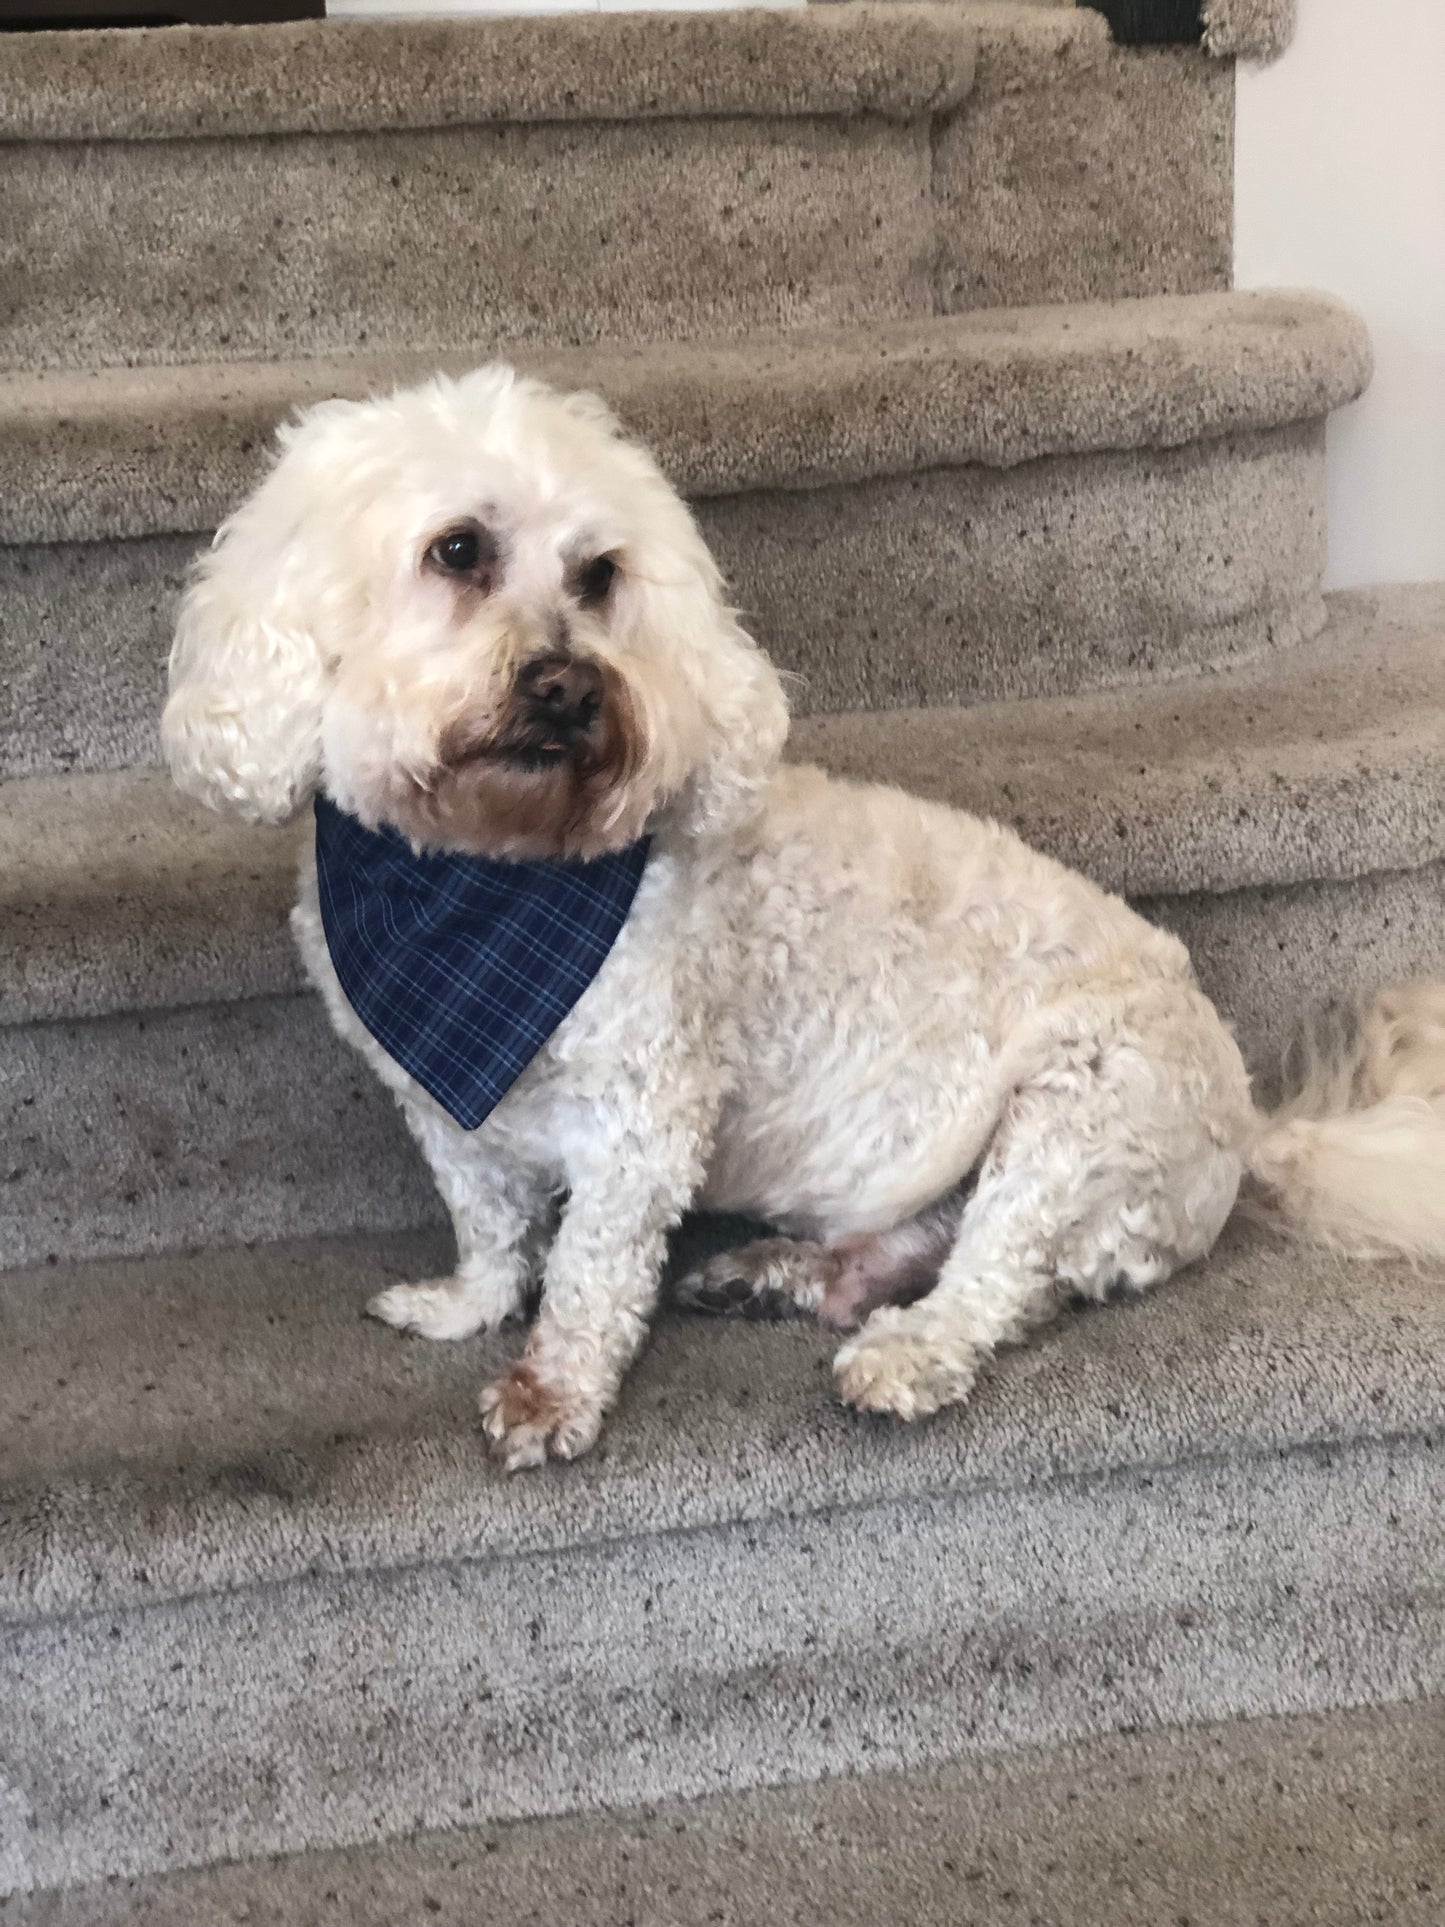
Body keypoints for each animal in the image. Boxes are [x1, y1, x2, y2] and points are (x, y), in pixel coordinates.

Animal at [160, 368, 1445, 1464]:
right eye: (458, 550)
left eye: (599, 576)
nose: (573, 687)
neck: (486, 875)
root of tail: (1246, 1115)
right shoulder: (438, 1100)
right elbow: (487, 1219)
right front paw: (464, 1304)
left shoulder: (642, 1111)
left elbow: (587, 1270)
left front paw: (552, 1392)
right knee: (926, 1254)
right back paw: (784, 1274)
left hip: (1082, 1108)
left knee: (999, 1280)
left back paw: (906, 1350)